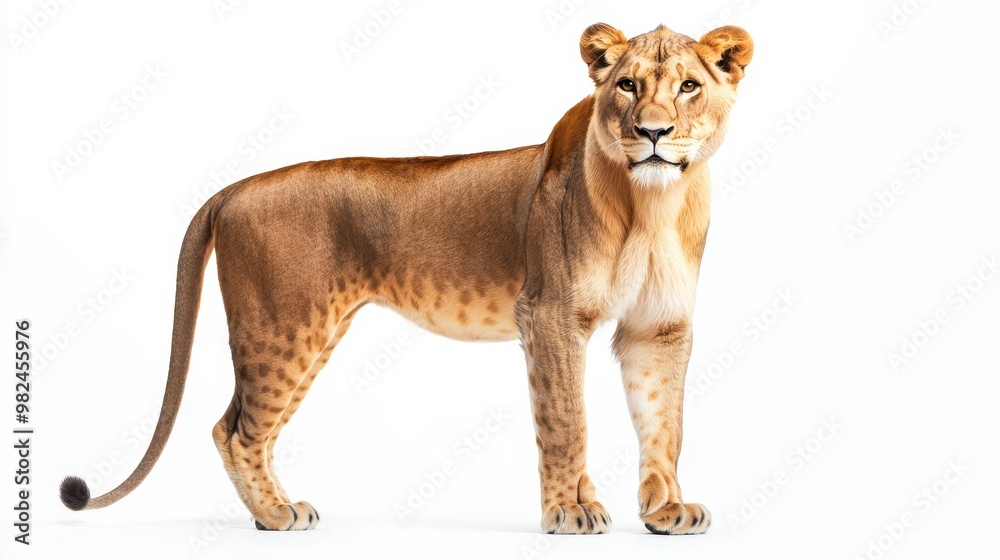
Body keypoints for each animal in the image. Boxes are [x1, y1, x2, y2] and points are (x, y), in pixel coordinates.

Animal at [59, 22, 753, 534]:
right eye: (628, 85)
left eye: (689, 86)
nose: (654, 132)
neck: (652, 206)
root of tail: (234, 189)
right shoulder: (550, 314)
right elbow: (566, 419)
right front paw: (570, 511)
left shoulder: (658, 328)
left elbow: (664, 421)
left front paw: (667, 511)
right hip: (282, 326)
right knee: (232, 430)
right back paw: (276, 515)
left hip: (308, 333)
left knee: (244, 425)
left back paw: (274, 511)